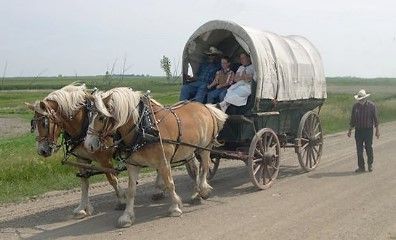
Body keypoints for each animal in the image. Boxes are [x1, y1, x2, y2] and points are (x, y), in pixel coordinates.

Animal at [24, 83, 128, 218]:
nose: (41, 150)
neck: (84, 124)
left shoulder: (104, 159)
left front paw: (122, 200)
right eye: (34, 124)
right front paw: (82, 208)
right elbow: (84, 183)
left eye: (44, 123)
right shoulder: (81, 159)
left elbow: (112, 179)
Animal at [84, 87, 227, 228]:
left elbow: (170, 184)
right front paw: (127, 217)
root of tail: (205, 106)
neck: (142, 127)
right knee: (195, 168)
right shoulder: (133, 165)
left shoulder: (163, 162)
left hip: (205, 148)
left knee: (205, 167)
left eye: (101, 117)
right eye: (89, 117)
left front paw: (175, 207)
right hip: (188, 149)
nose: (88, 145)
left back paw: (203, 190)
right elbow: (131, 190)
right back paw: (196, 194)